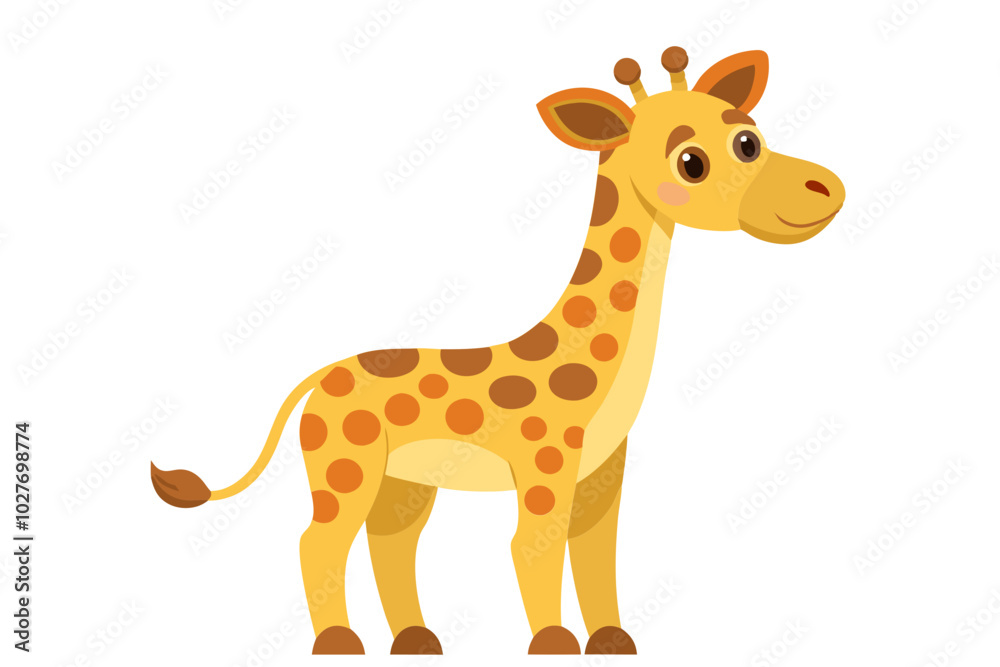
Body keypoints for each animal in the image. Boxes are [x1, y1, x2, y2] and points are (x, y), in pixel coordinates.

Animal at [152, 46, 845, 656]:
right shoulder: (544, 464)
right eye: (691, 161)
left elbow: (597, 554)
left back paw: (417, 642)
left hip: (405, 481)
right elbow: (531, 547)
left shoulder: (605, 468)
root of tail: (318, 378)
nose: (827, 189)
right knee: (317, 541)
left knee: (390, 544)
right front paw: (554, 644)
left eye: (749, 138)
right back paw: (339, 644)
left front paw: (613, 642)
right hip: (345, 463)